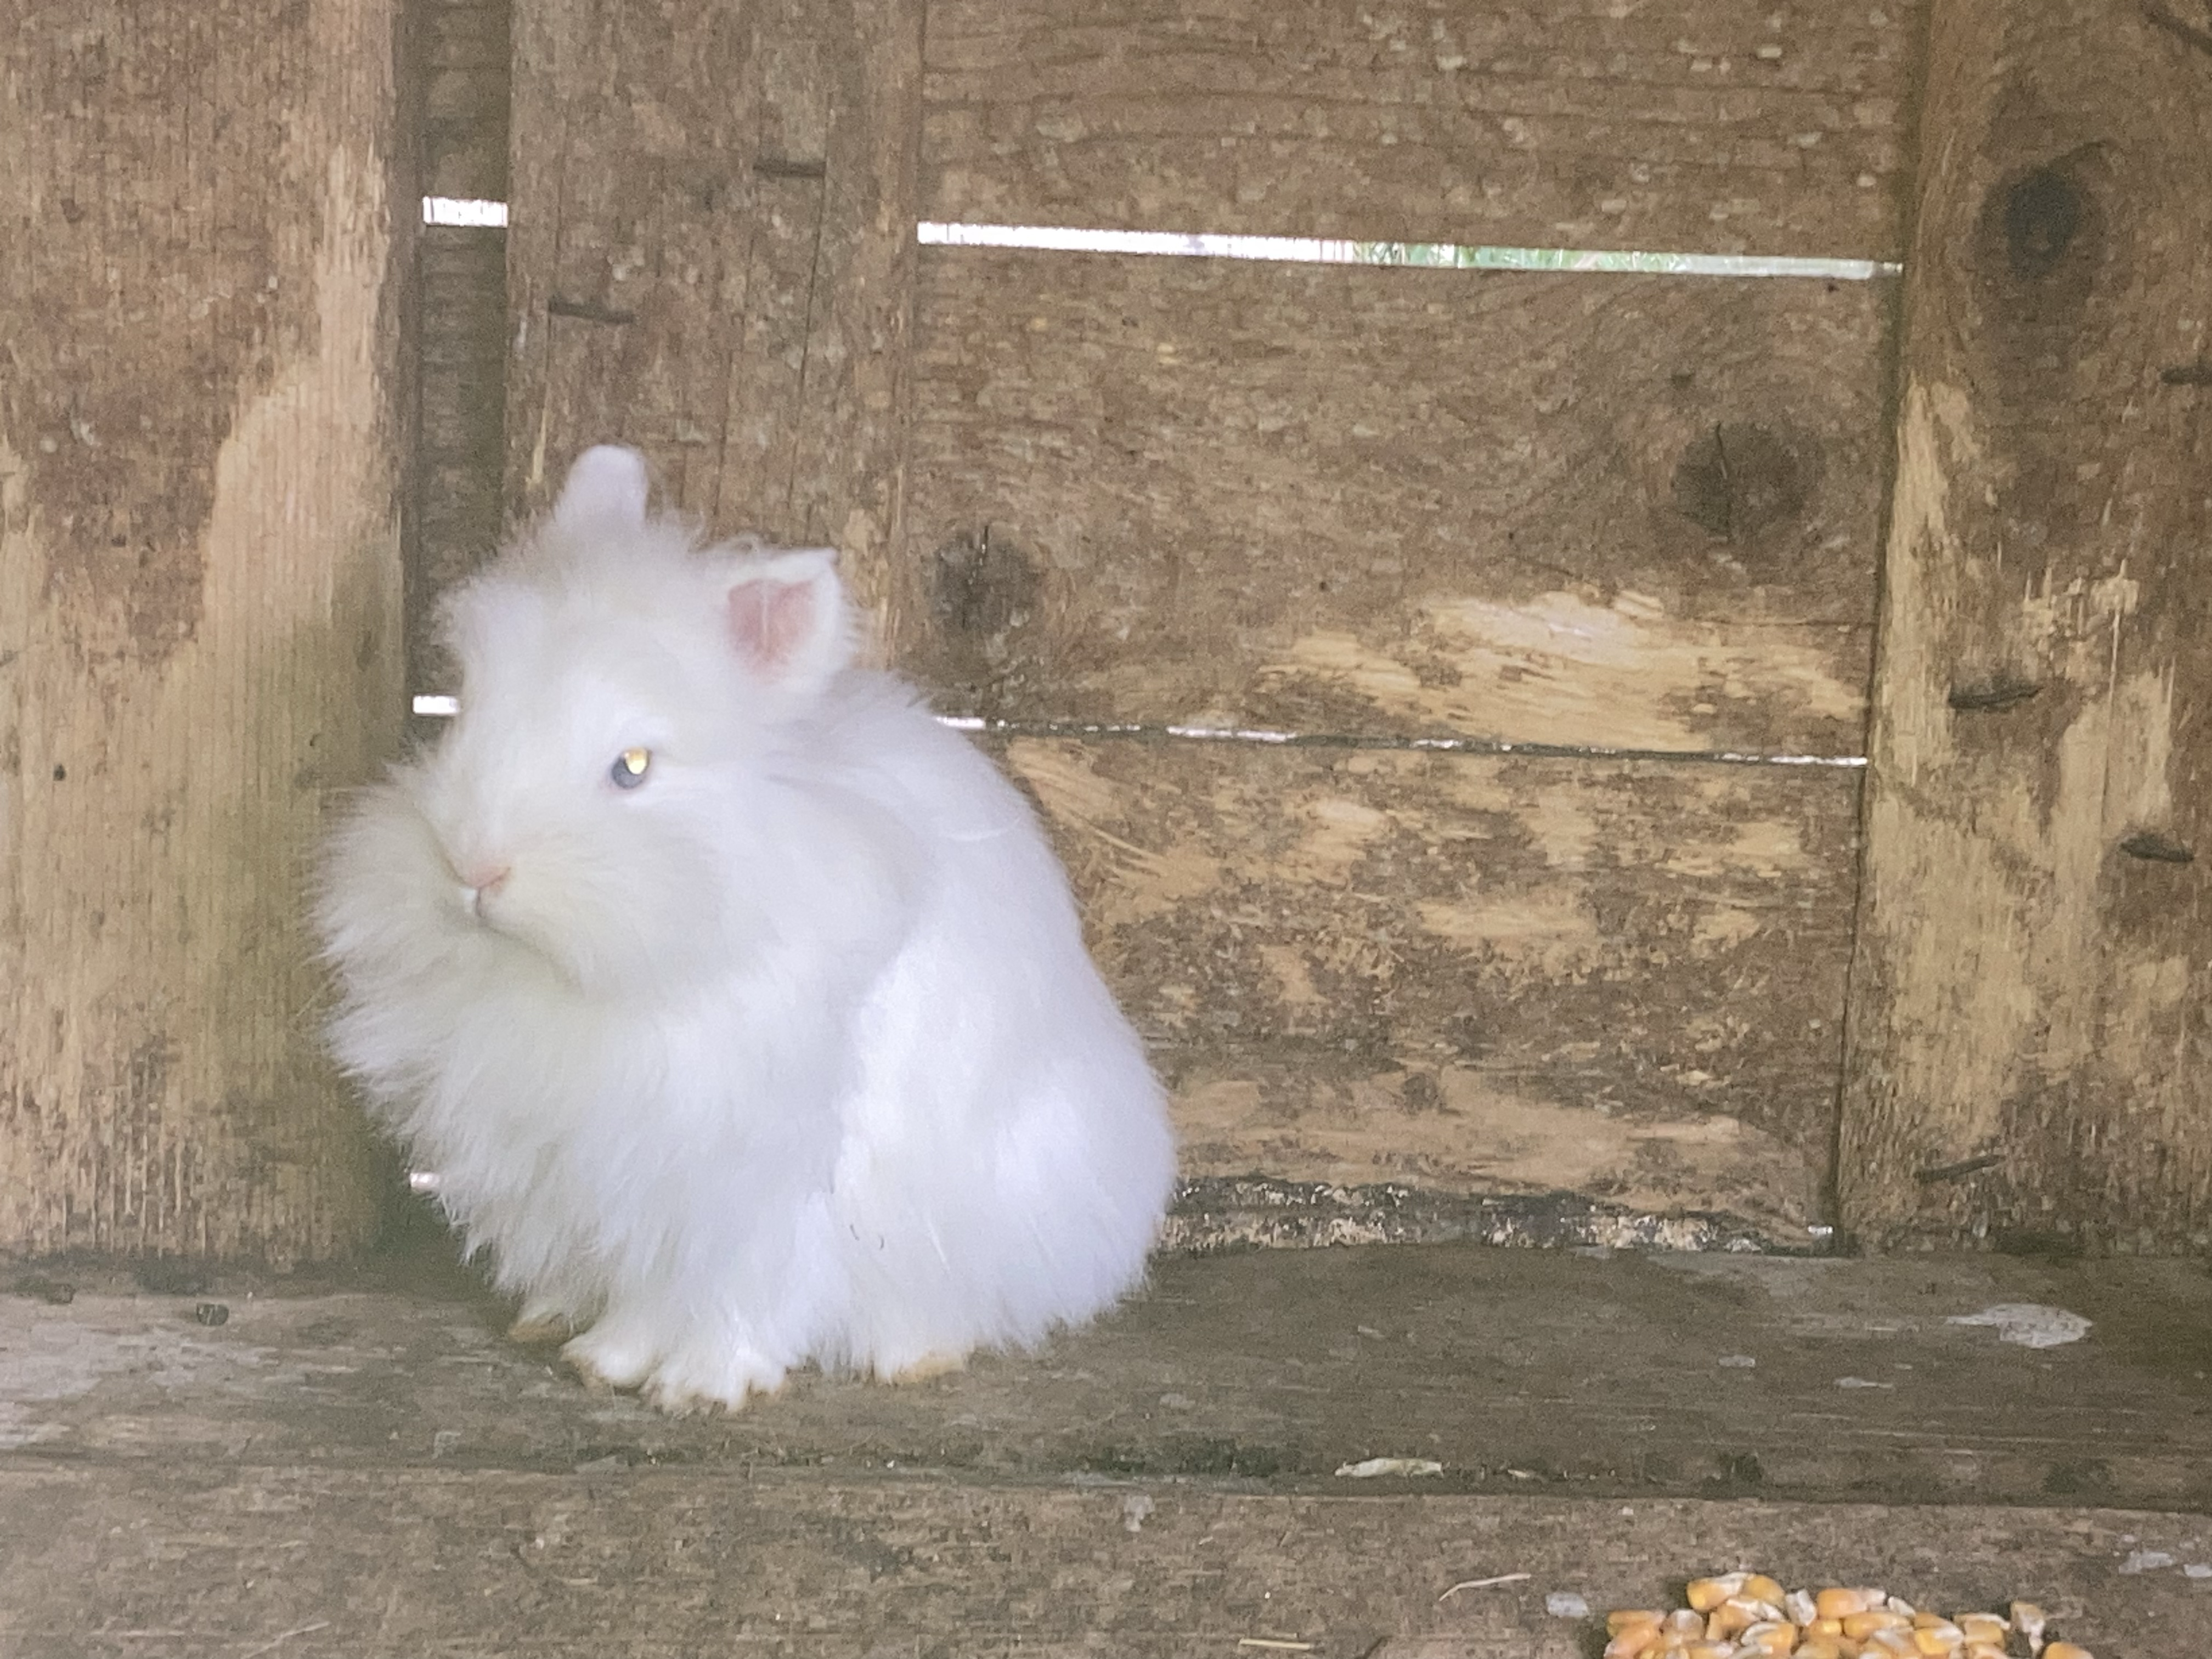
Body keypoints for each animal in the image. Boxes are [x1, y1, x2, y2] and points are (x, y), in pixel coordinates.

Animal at [316, 444, 1177, 1412]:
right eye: (462, 713)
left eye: (632, 767)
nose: (473, 868)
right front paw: (598, 1354)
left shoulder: (752, 1192)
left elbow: (732, 1294)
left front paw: (691, 1385)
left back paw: (915, 1354)